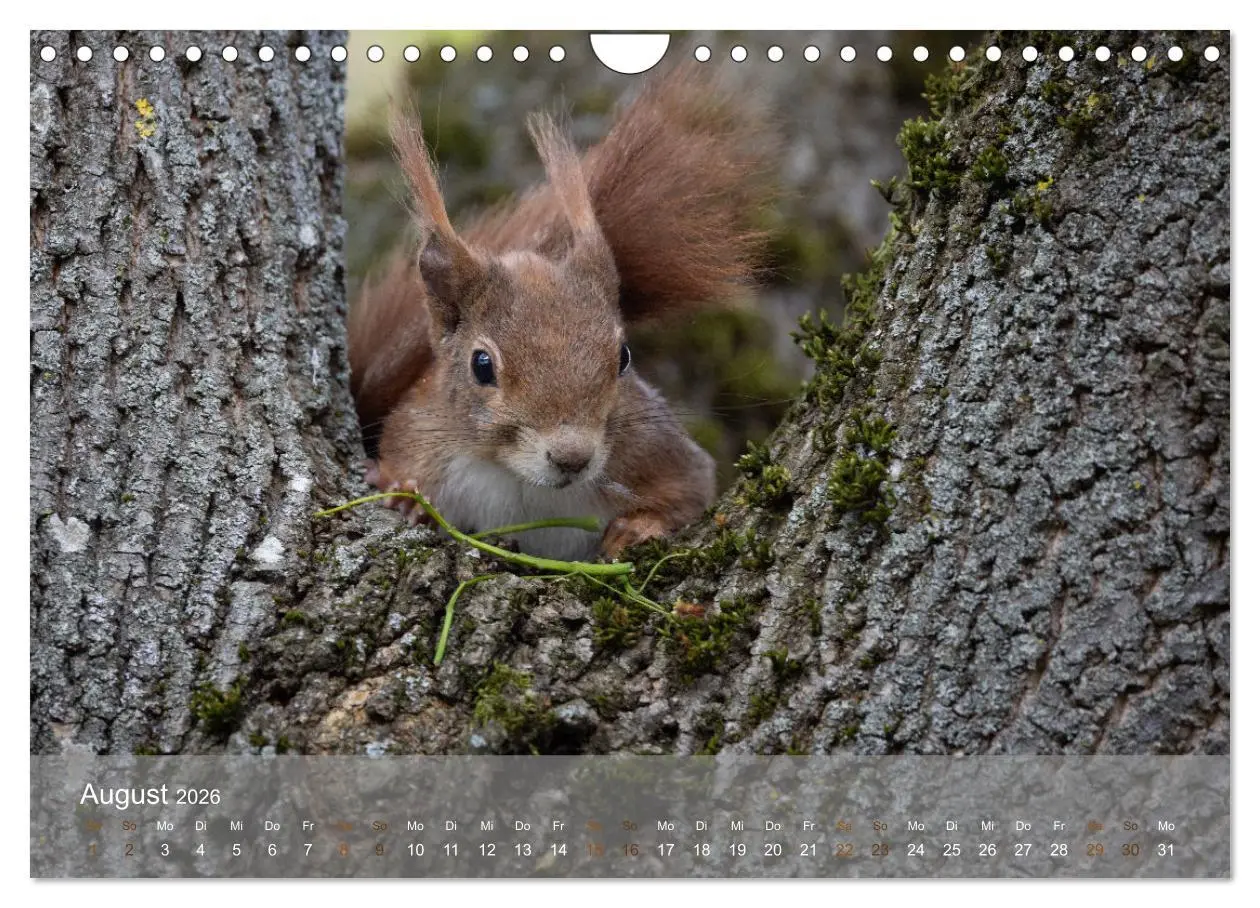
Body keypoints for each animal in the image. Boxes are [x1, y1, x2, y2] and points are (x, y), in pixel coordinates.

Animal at [347, 64, 778, 562]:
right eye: (482, 365)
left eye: (623, 357)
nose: (572, 457)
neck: (519, 480)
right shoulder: (416, 432)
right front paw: (405, 495)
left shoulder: (660, 453)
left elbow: (694, 493)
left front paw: (639, 527)